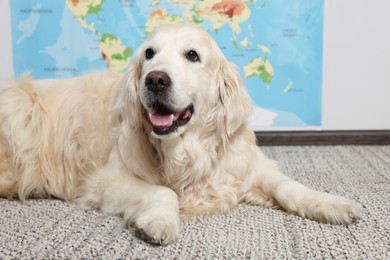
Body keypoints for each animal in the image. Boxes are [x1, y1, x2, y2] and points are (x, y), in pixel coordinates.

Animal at [0, 23, 360, 245]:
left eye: (192, 55)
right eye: (149, 54)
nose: (155, 79)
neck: (186, 149)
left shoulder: (245, 166)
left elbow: (288, 185)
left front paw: (329, 203)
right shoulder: (105, 181)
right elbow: (164, 192)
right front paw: (160, 222)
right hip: (20, 109)